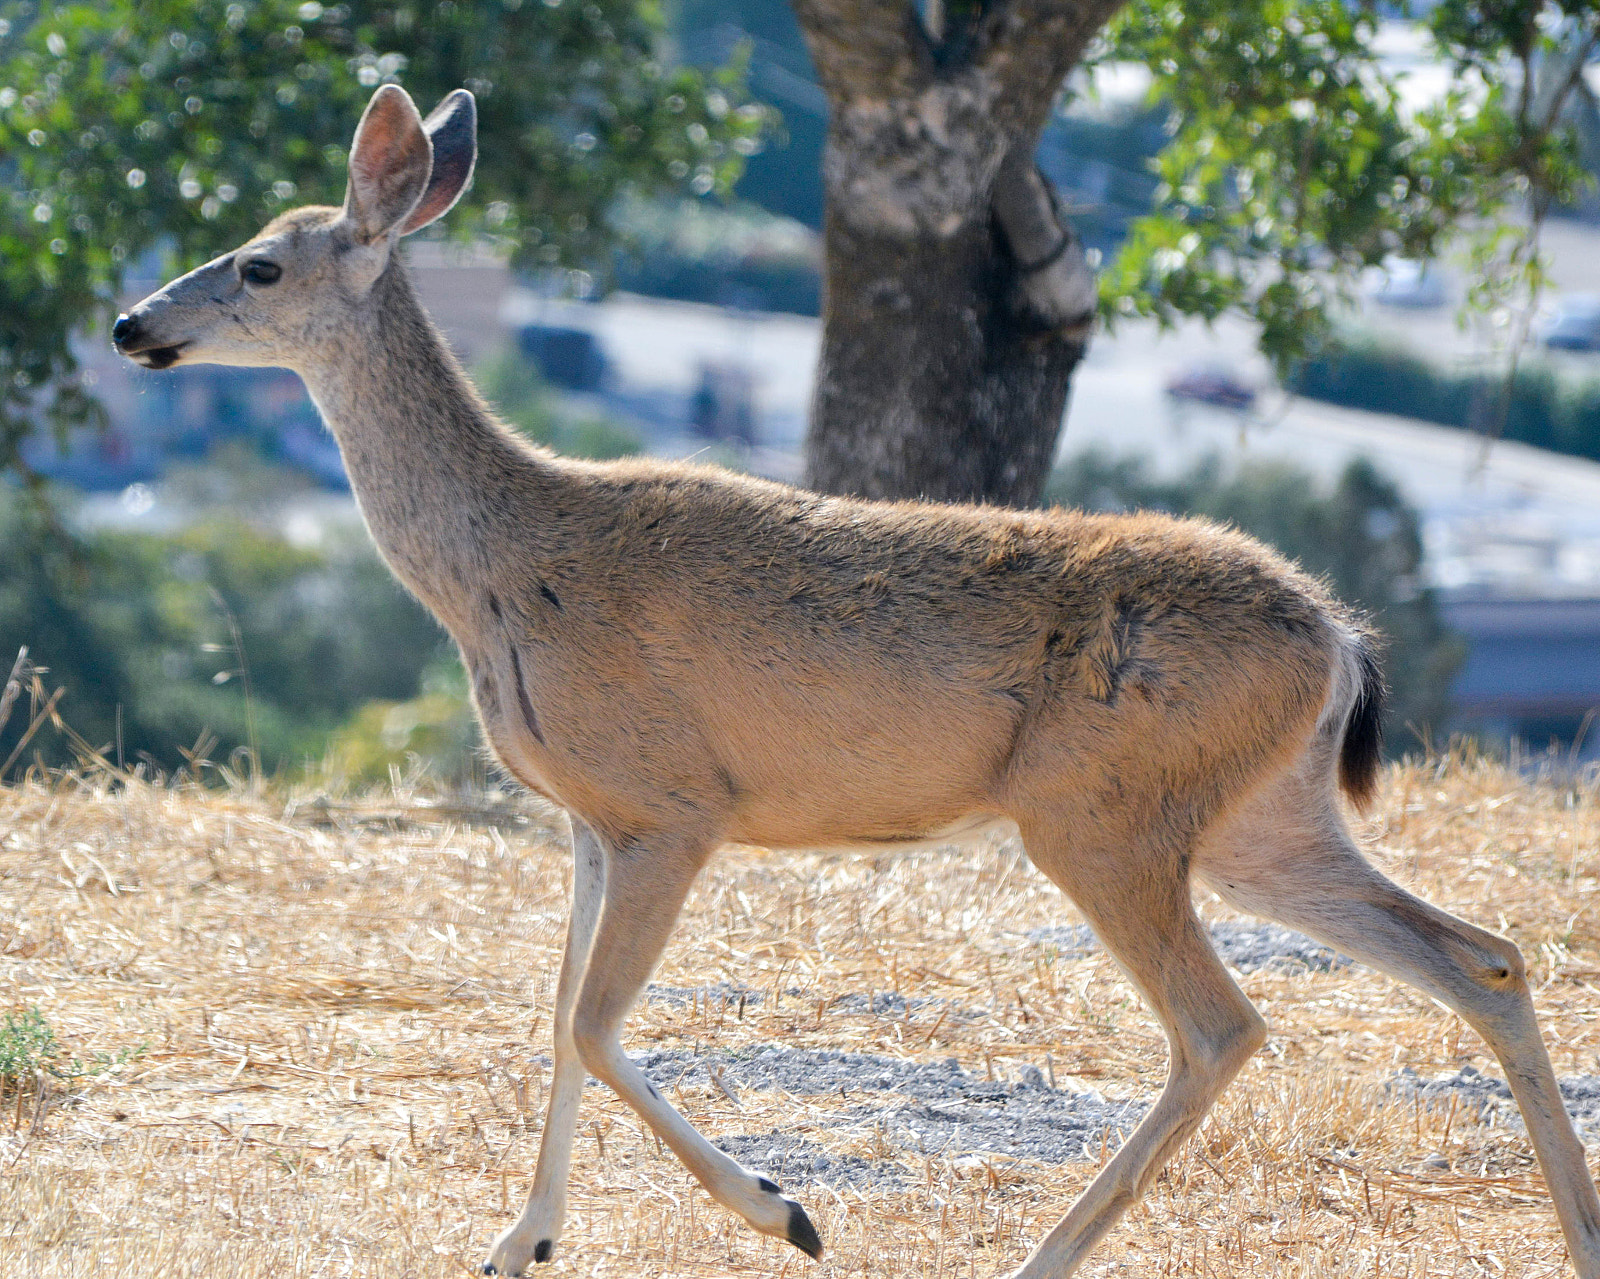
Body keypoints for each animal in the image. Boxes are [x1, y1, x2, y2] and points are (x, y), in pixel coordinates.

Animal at [113, 84, 1600, 1279]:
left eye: (257, 264)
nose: (131, 325)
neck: (504, 563)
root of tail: (1341, 636)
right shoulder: (589, 816)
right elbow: (554, 1016)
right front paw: (518, 1240)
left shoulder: (672, 801)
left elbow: (592, 1021)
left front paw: (784, 1209)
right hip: (1258, 816)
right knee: (1484, 955)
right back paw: (1577, 1230)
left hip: (1105, 811)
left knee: (1223, 1024)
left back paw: (1034, 1256)